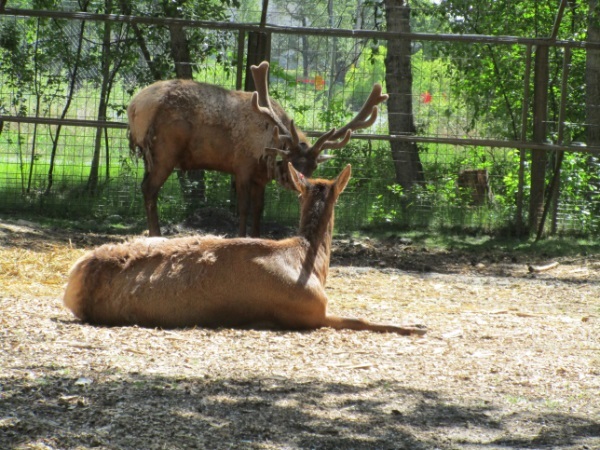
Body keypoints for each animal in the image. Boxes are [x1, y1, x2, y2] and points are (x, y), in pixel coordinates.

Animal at [127, 61, 390, 237]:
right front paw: (240, 236)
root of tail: (134, 106)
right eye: (292, 162)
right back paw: (156, 234)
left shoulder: (260, 178)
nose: (300, 183)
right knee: (148, 189)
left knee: (145, 187)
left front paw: (255, 236)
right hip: (165, 151)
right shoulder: (241, 166)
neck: (268, 148)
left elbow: (259, 210)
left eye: (313, 166)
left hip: (150, 156)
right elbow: (243, 208)